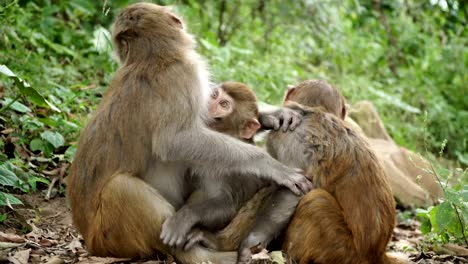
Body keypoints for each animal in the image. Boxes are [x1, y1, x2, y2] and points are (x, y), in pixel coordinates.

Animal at [66, 3, 312, 262]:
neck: (153, 57)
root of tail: (90, 242)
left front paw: (273, 116)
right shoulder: (186, 74)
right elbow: (173, 141)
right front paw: (271, 165)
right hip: (111, 234)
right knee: (122, 187)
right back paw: (204, 255)